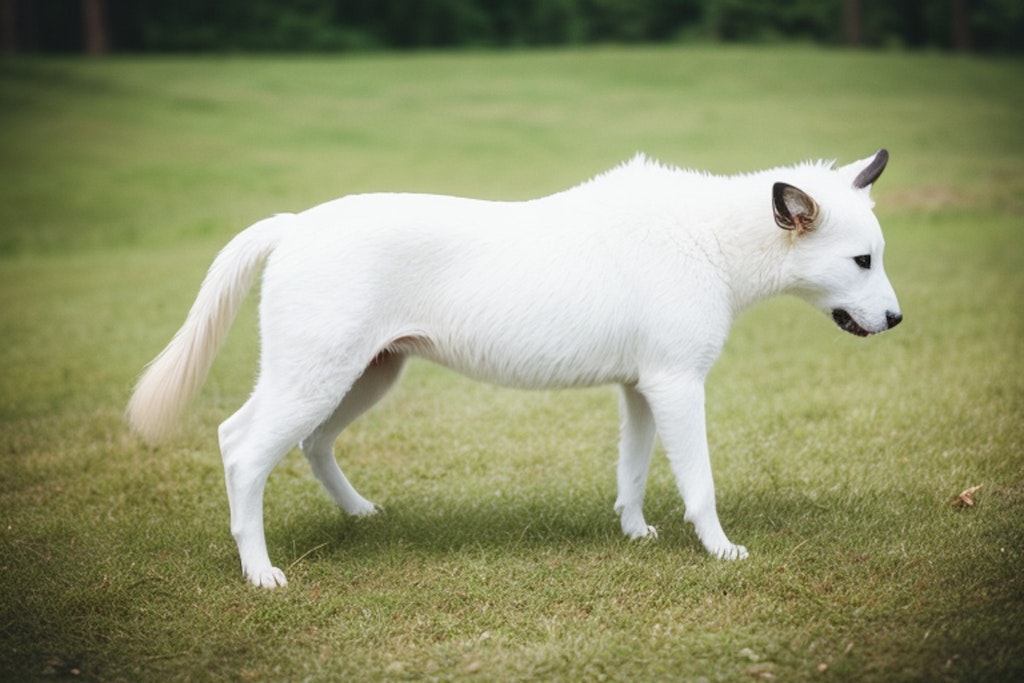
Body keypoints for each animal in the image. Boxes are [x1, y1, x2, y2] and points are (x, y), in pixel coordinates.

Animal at [130, 150, 905, 589]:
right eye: (862, 260)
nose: (897, 320)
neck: (707, 241)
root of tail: (292, 225)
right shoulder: (679, 383)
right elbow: (700, 483)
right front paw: (720, 550)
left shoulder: (641, 387)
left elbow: (632, 469)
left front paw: (635, 532)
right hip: (315, 373)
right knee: (241, 446)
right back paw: (259, 571)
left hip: (365, 374)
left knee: (309, 442)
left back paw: (360, 514)